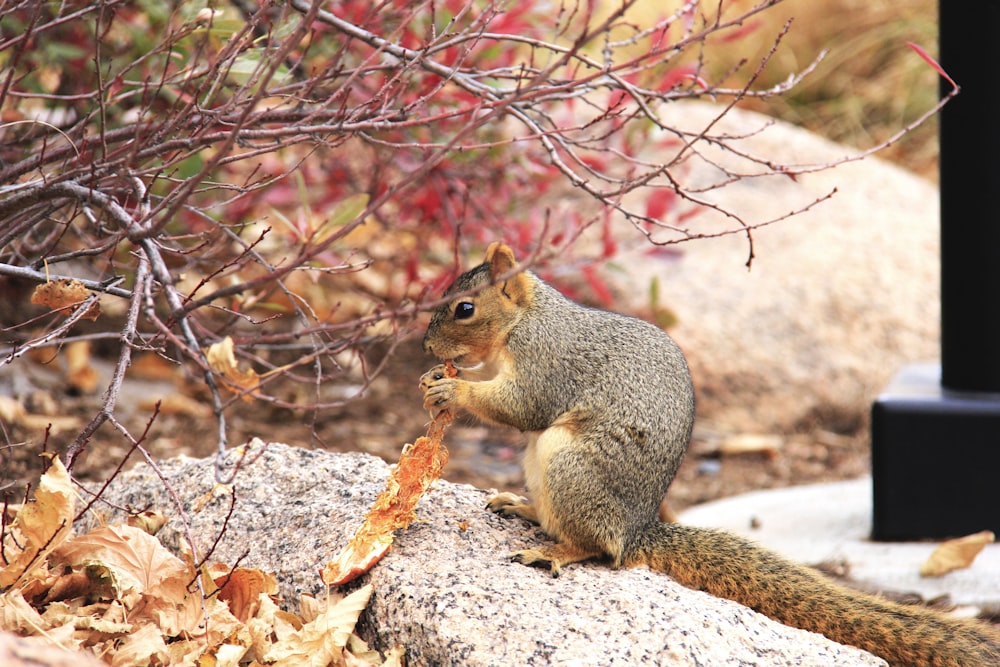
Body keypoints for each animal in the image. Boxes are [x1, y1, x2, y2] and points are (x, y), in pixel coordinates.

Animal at [422, 243, 1000, 667]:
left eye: (465, 308)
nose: (426, 347)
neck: (527, 321)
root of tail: (638, 531)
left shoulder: (547, 364)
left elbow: (520, 405)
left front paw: (453, 389)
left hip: (570, 466)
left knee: (598, 547)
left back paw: (558, 550)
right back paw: (523, 508)